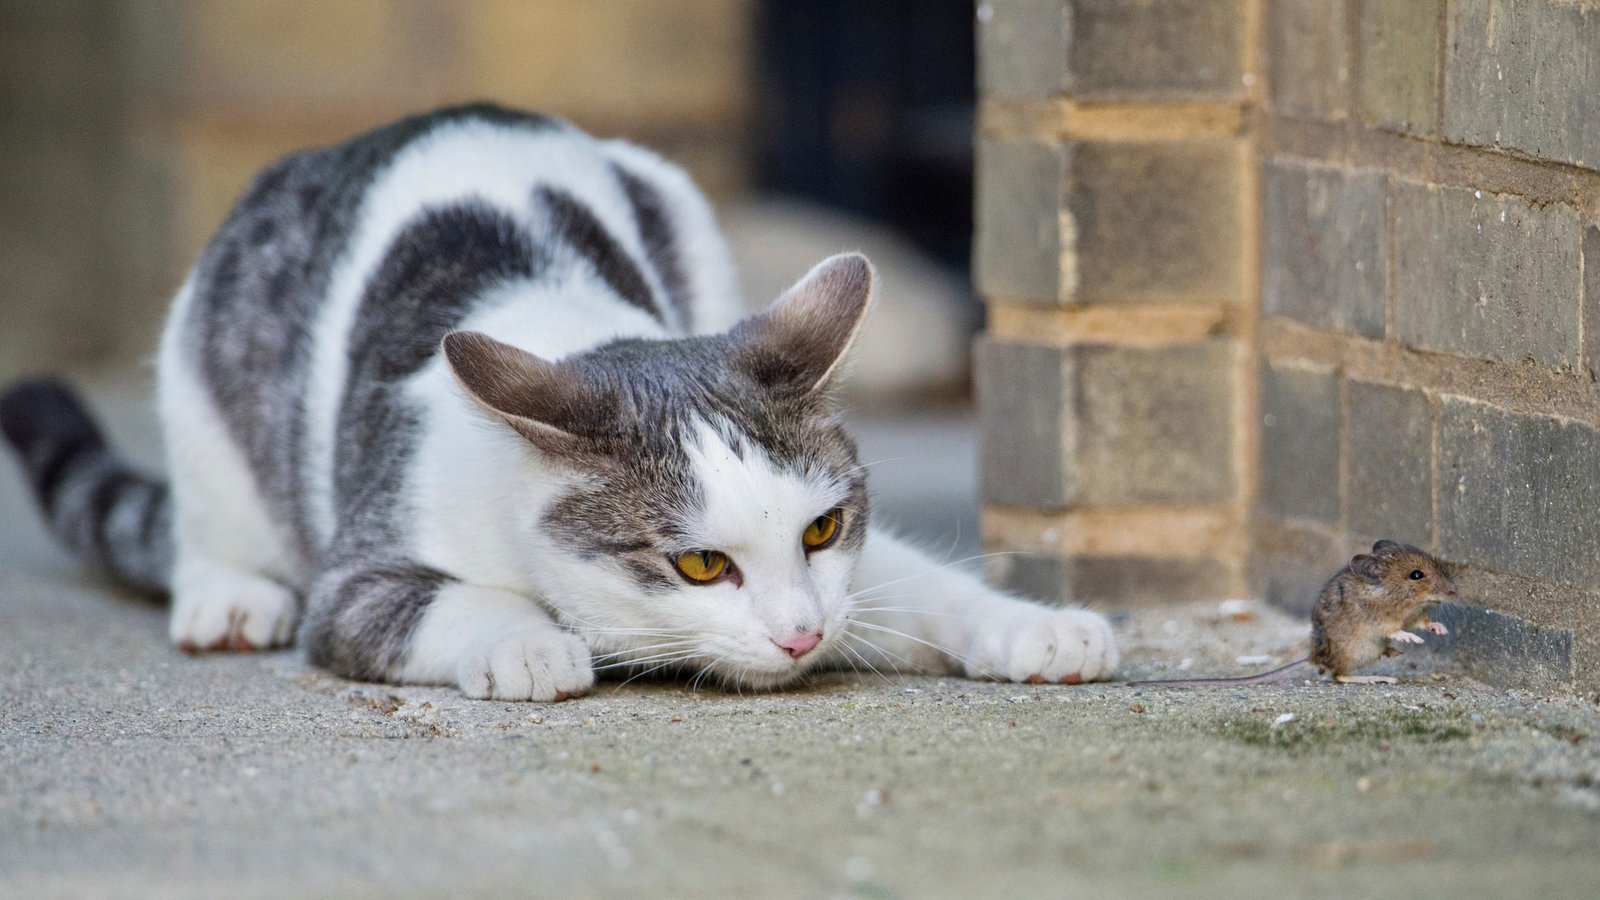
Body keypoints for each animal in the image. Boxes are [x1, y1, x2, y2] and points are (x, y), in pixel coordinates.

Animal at [0, 101, 1120, 698]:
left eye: (822, 529)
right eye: (700, 564)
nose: (802, 634)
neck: (569, 328)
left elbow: (911, 582)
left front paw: (1033, 627)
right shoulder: (360, 579)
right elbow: (441, 598)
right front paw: (531, 640)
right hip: (205, 339)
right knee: (211, 509)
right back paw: (228, 595)